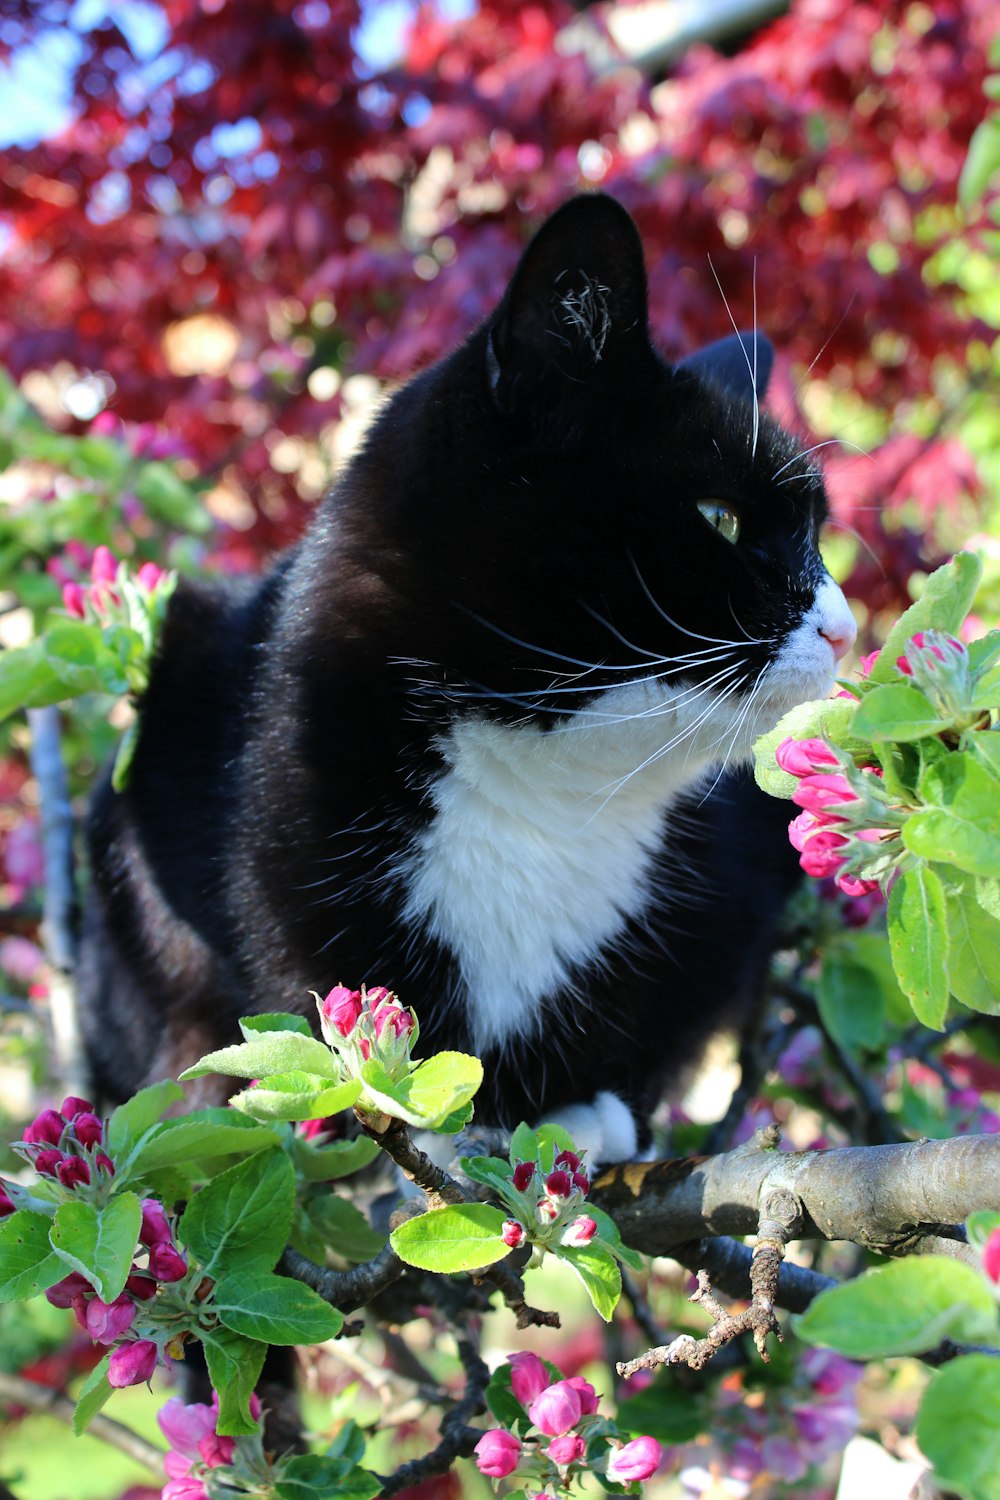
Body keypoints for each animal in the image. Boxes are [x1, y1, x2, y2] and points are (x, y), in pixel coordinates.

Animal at [78, 196, 857, 1158]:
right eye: (721, 518)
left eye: (817, 530)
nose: (843, 626)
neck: (548, 795)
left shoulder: (742, 872)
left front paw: (580, 1108)